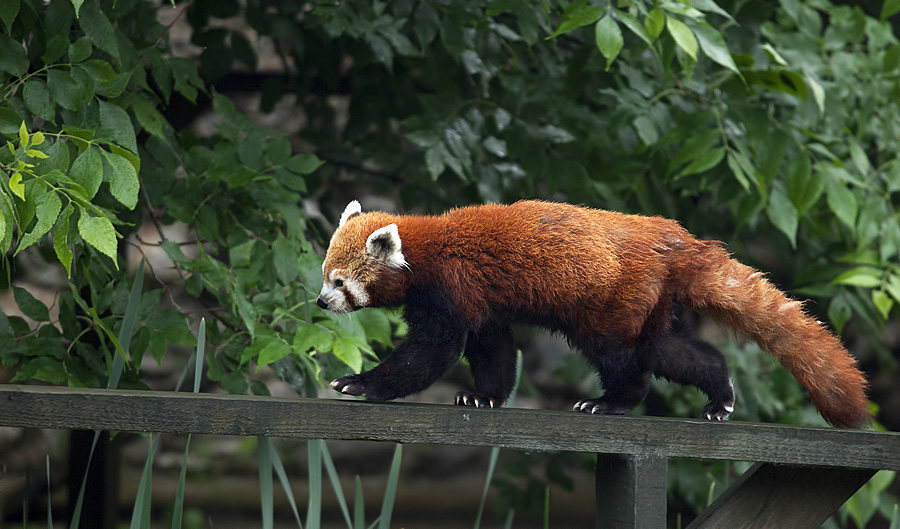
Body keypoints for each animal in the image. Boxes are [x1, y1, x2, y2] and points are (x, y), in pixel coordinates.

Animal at [318, 200, 872, 426]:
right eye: (325, 276)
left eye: (340, 282)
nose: (322, 302)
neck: (426, 248)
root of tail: (680, 242)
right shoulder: (483, 302)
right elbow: (493, 349)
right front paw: (484, 396)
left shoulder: (452, 289)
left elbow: (430, 353)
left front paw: (361, 383)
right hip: (651, 302)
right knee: (669, 351)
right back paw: (719, 393)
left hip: (613, 300)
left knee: (625, 358)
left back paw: (611, 403)